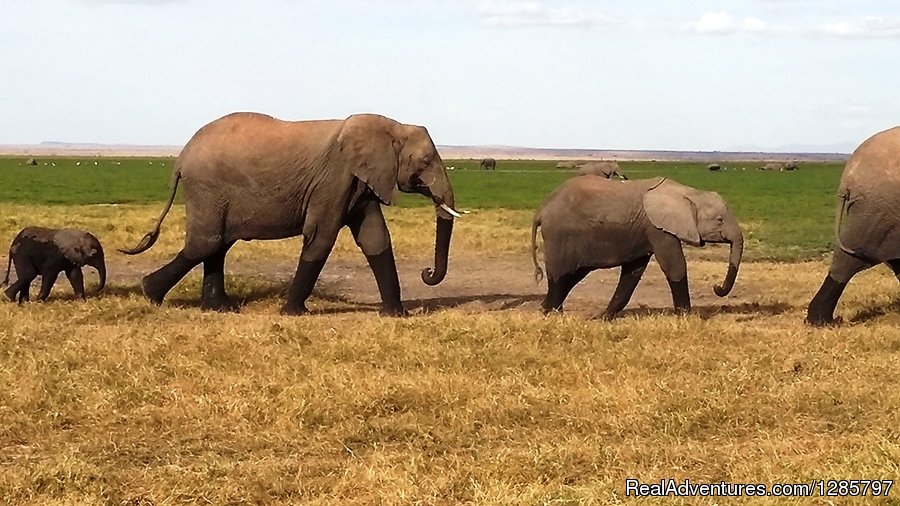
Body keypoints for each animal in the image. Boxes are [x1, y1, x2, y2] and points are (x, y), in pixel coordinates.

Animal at [119, 112, 458, 314]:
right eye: (425, 162)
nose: (427, 272)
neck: (391, 126)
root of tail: (180, 158)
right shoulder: (332, 180)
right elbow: (321, 237)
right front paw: (293, 313)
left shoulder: (360, 182)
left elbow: (375, 239)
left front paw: (396, 315)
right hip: (207, 189)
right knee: (206, 243)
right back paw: (150, 293)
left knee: (217, 245)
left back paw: (218, 308)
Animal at [532, 176, 740, 318]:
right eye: (720, 220)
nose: (717, 287)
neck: (687, 192)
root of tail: (541, 209)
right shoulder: (658, 229)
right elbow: (674, 266)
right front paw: (685, 317)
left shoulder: (644, 231)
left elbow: (633, 272)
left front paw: (604, 317)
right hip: (559, 236)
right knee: (560, 275)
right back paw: (551, 313)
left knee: (573, 275)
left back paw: (546, 309)